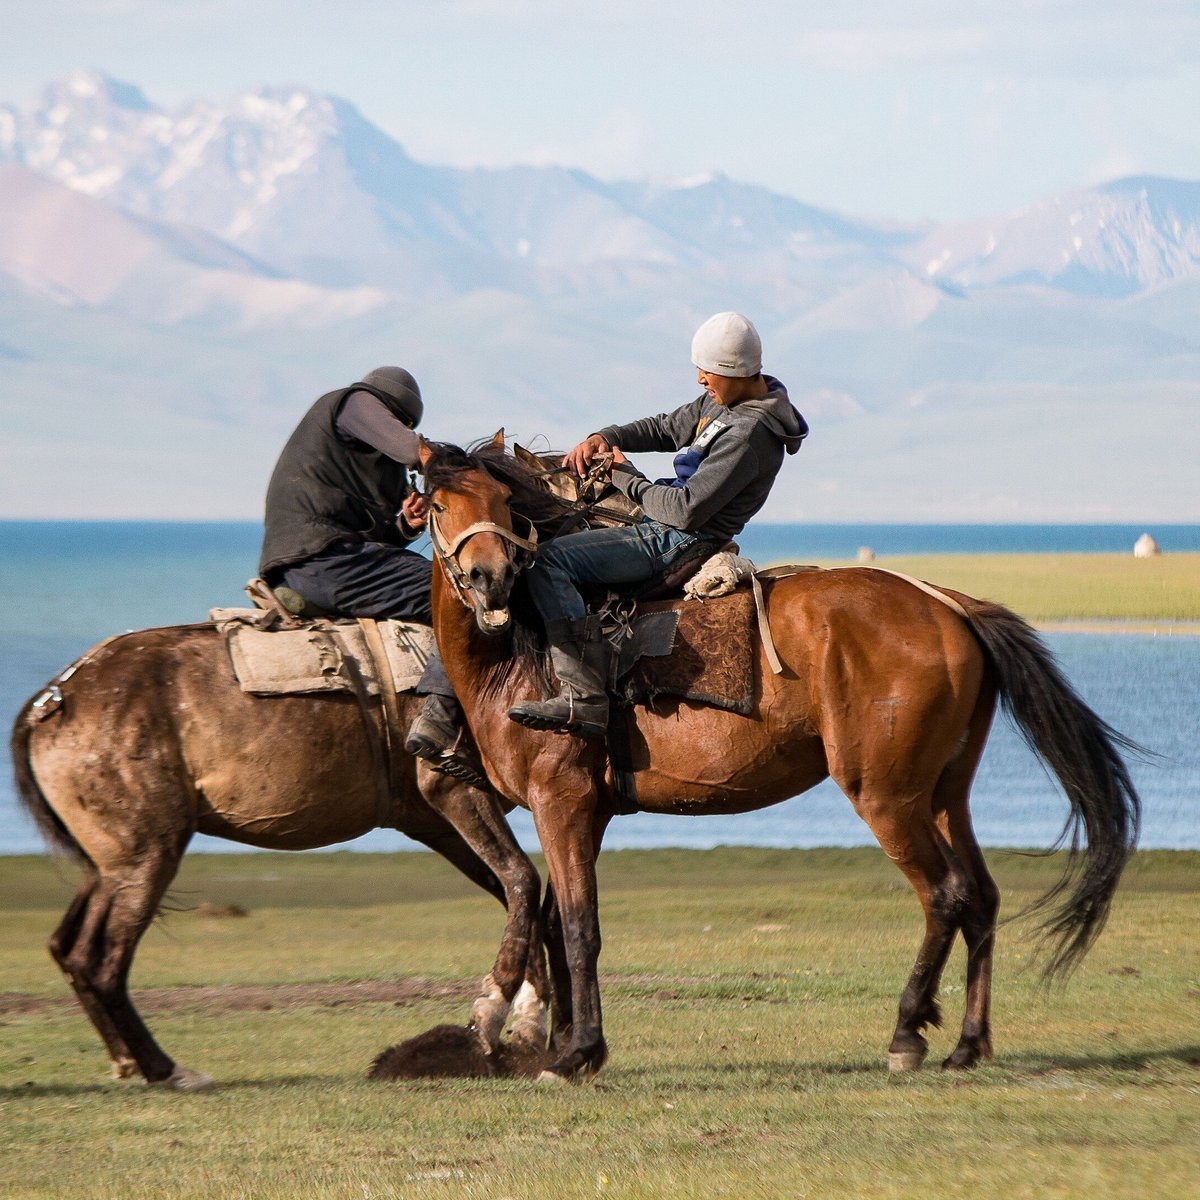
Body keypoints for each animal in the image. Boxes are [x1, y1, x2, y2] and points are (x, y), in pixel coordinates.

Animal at [11, 619, 547, 1089]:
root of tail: (51, 699)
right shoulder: (450, 791)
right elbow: (523, 880)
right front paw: (499, 1027)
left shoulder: (435, 824)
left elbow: (523, 896)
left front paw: (530, 1036)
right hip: (146, 859)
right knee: (100, 960)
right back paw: (167, 1070)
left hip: (109, 867)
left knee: (68, 948)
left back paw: (128, 1062)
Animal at [417, 436, 1137, 1084]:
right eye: (438, 504)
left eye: (503, 503)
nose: (489, 580)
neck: (520, 655)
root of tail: (949, 607)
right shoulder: (586, 812)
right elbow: (554, 922)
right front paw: (568, 1043)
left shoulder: (560, 801)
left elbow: (576, 926)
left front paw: (573, 1054)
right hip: (941, 793)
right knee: (981, 897)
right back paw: (967, 1043)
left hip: (885, 795)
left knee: (946, 894)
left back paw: (907, 1032)